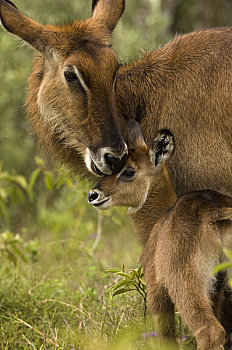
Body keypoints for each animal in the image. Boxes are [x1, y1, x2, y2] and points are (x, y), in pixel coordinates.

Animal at [88, 121, 232, 348]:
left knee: (210, 332)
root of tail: (214, 210)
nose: (93, 195)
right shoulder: (217, 292)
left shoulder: (156, 290)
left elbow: (166, 338)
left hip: (186, 285)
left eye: (129, 171)